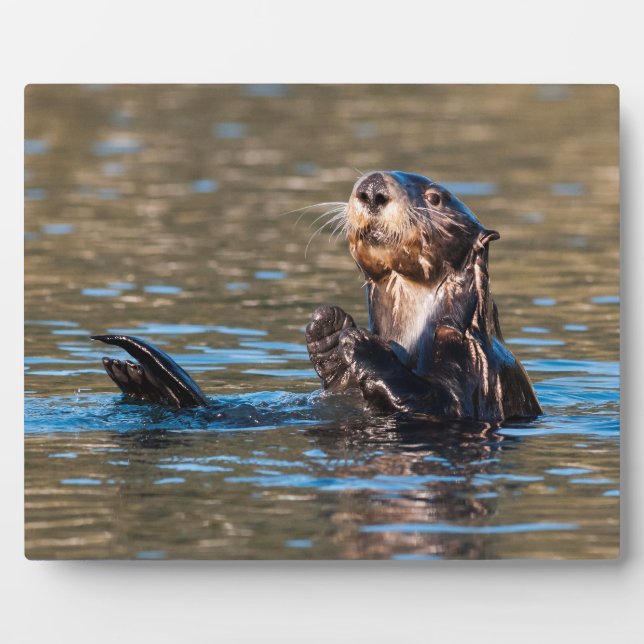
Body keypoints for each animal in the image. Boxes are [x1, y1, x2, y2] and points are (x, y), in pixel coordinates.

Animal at [92, 170, 541, 424]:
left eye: (435, 198)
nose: (372, 189)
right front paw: (328, 329)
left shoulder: (471, 364)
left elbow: (438, 403)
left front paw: (361, 344)